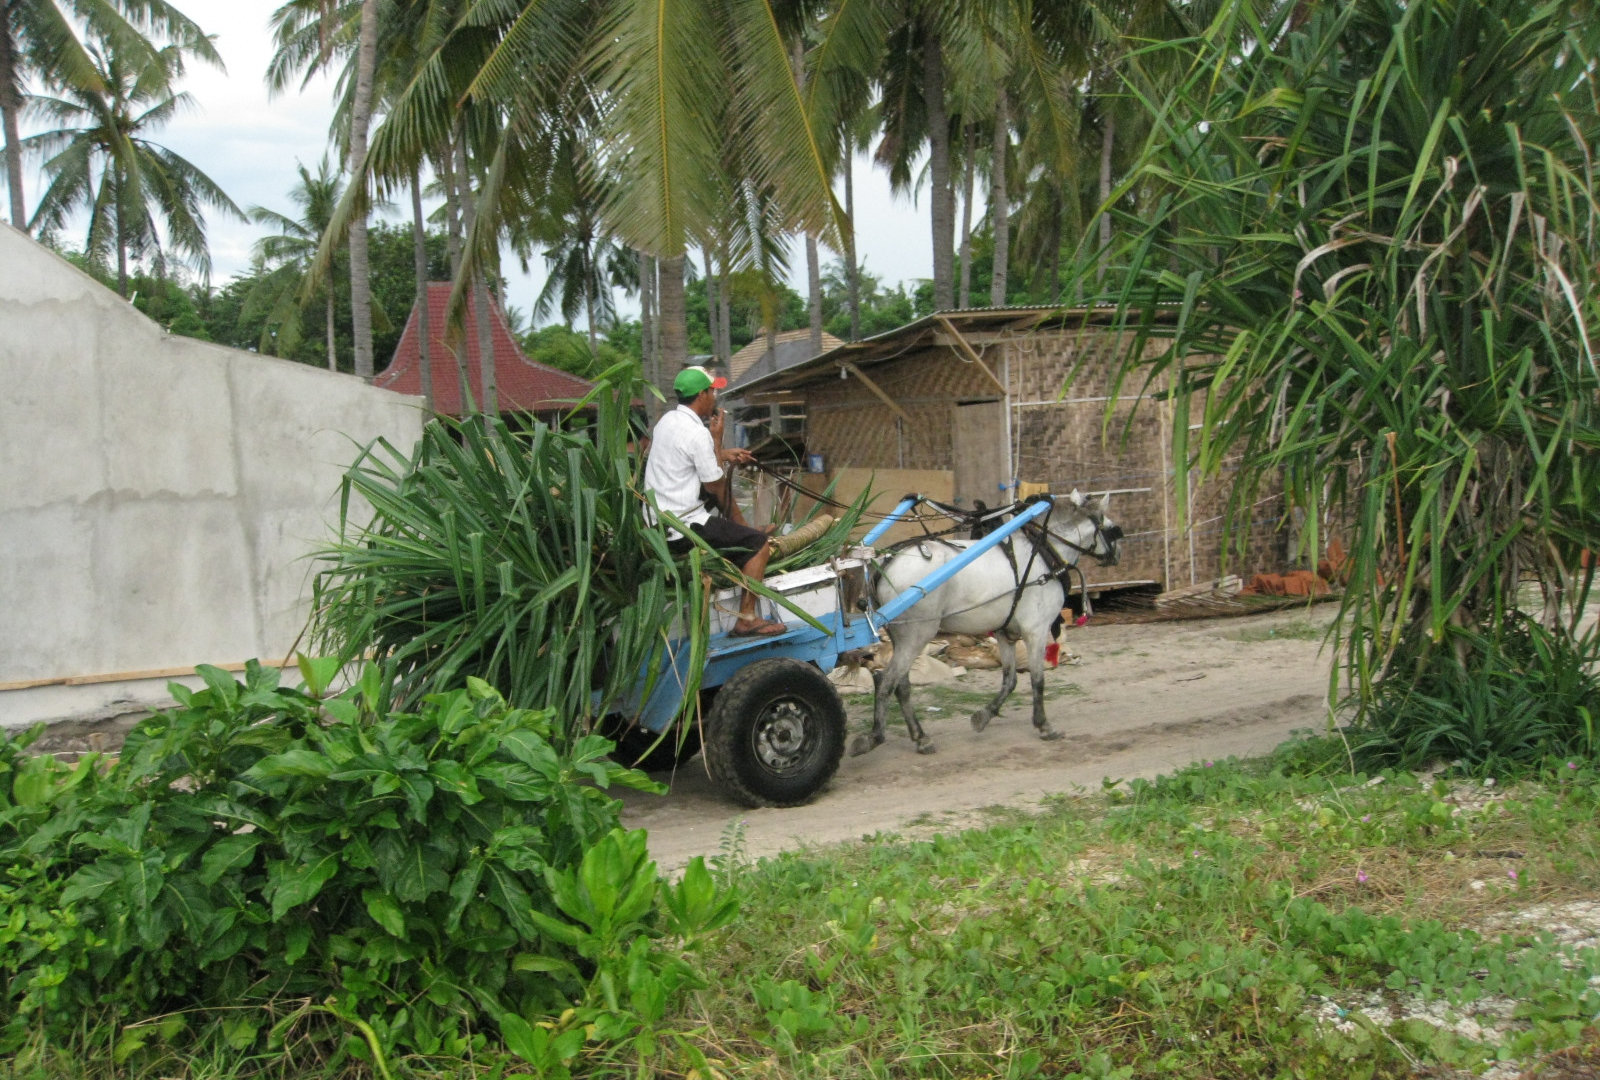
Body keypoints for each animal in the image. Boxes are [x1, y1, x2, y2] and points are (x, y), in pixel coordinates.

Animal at [850, 492, 1122, 757]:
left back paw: (920, 737)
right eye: (1112, 529)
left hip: (902, 637)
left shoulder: (1005, 633)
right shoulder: (1036, 630)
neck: (1044, 553)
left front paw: (984, 716)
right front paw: (1043, 725)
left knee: (902, 685)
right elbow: (1037, 679)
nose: (1117, 554)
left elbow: (1010, 679)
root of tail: (886, 561)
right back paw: (875, 736)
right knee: (887, 682)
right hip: (917, 635)